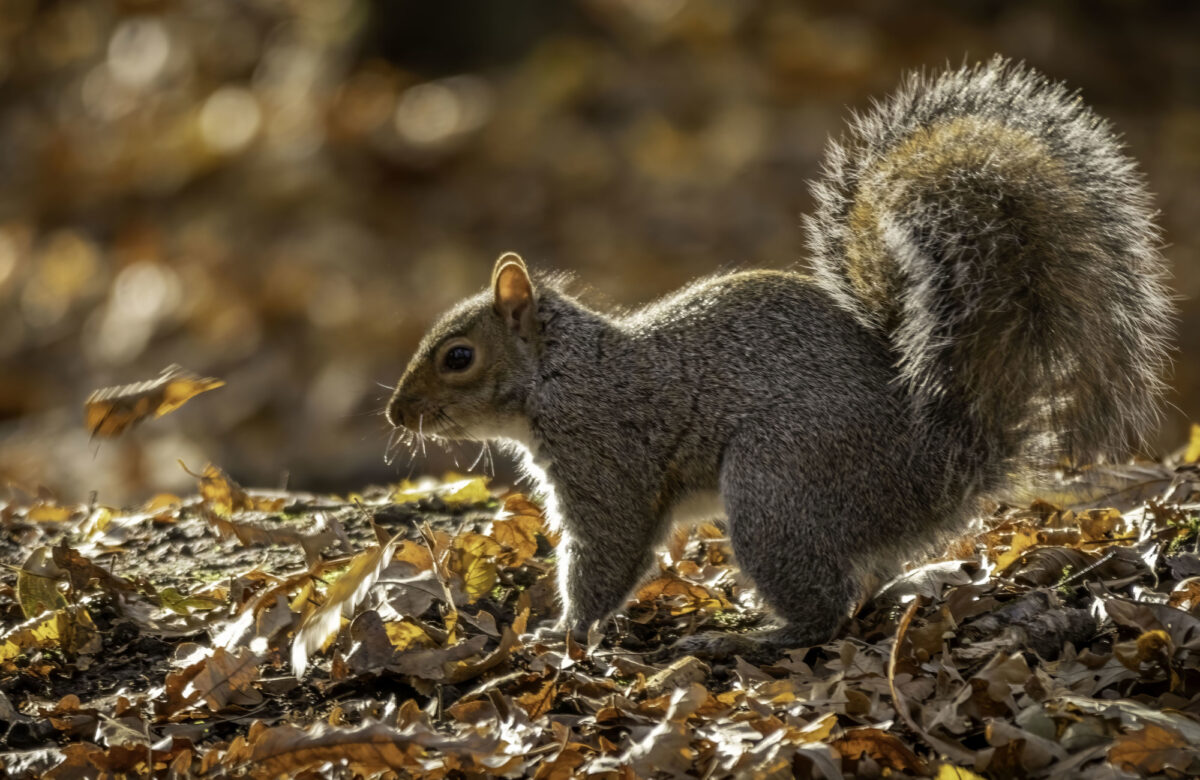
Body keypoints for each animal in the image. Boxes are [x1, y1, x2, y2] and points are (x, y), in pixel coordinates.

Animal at [386, 58, 1173, 658]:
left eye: (458, 356)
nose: (395, 413)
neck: (561, 374)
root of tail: (942, 462)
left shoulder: (604, 457)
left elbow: (609, 551)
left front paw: (563, 633)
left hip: (776, 484)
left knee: (825, 611)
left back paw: (746, 637)